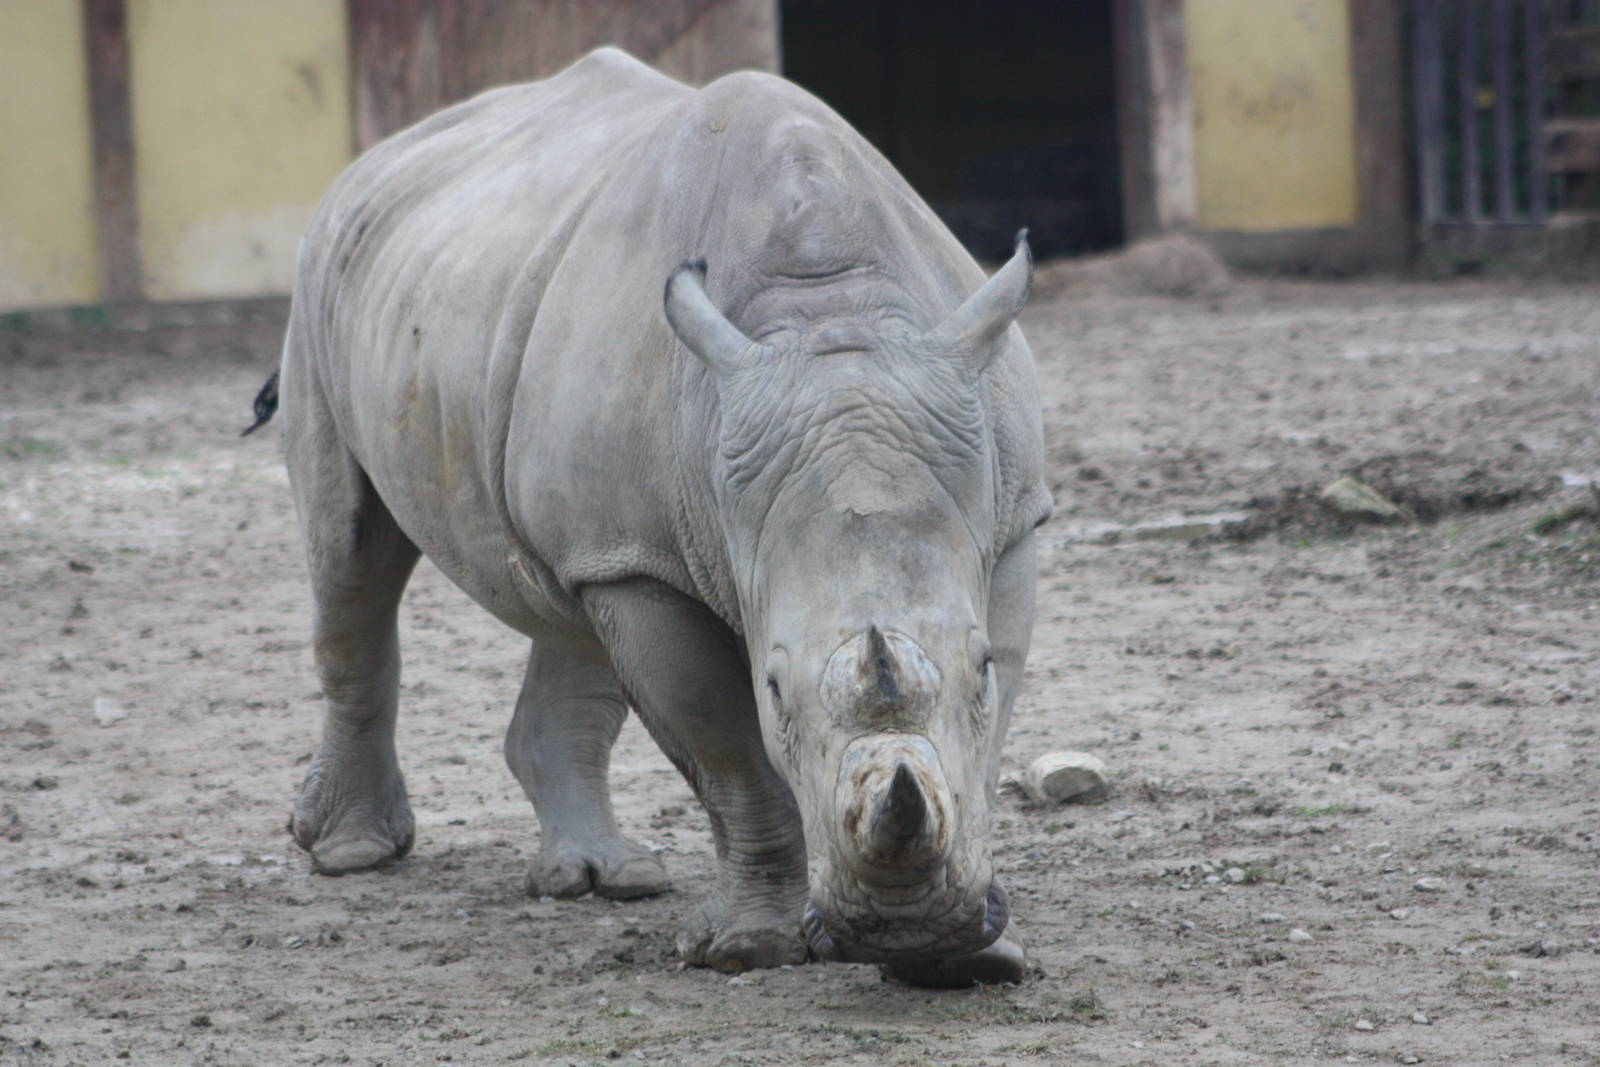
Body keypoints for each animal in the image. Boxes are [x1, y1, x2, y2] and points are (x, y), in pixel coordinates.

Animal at [263, 47, 1051, 987]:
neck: (830, 320)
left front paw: (973, 956)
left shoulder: (1011, 520)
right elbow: (727, 750)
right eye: (775, 688)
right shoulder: (644, 568)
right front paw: (752, 948)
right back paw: (353, 854)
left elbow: (986, 730)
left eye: (980, 667)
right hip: (320, 286)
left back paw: (608, 878)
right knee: (351, 552)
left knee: (565, 603)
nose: (906, 931)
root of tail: (367, 164)